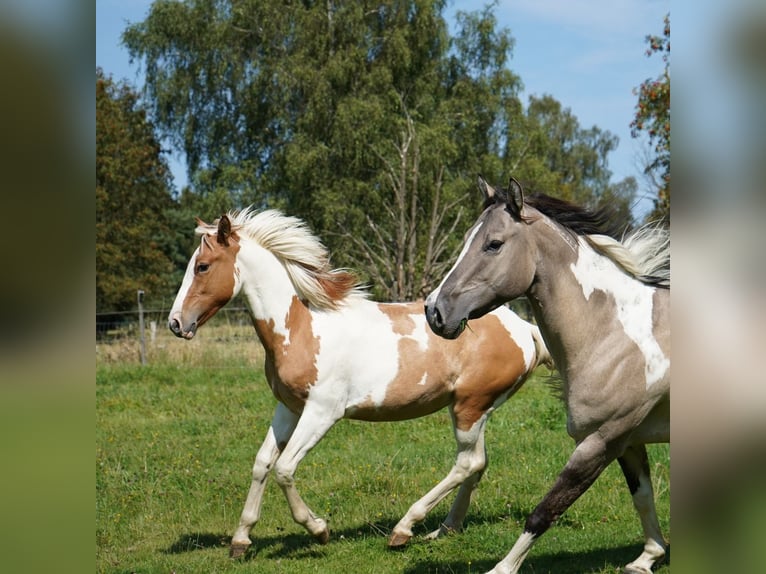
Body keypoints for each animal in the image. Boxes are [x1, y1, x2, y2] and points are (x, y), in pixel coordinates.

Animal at [168, 208, 552, 564]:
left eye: (202, 266)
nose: (175, 323)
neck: (301, 327)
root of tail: (523, 328)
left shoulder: (322, 412)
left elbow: (285, 468)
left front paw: (318, 529)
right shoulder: (289, 407)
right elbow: (262, 463)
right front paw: (241, 540)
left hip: (469, 407)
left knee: (466, 464)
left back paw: (403, 530)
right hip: (477, 409)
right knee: (477, 464)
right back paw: (445, 529)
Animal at [426, 177, 672, 574]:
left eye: (494, 244)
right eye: (465, 239)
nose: (434, 311)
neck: (614, 334)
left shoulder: (599, 442)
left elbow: (545, 511)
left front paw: (502, 568)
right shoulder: (628, 441)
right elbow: (643, 497)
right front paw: (648, 557)